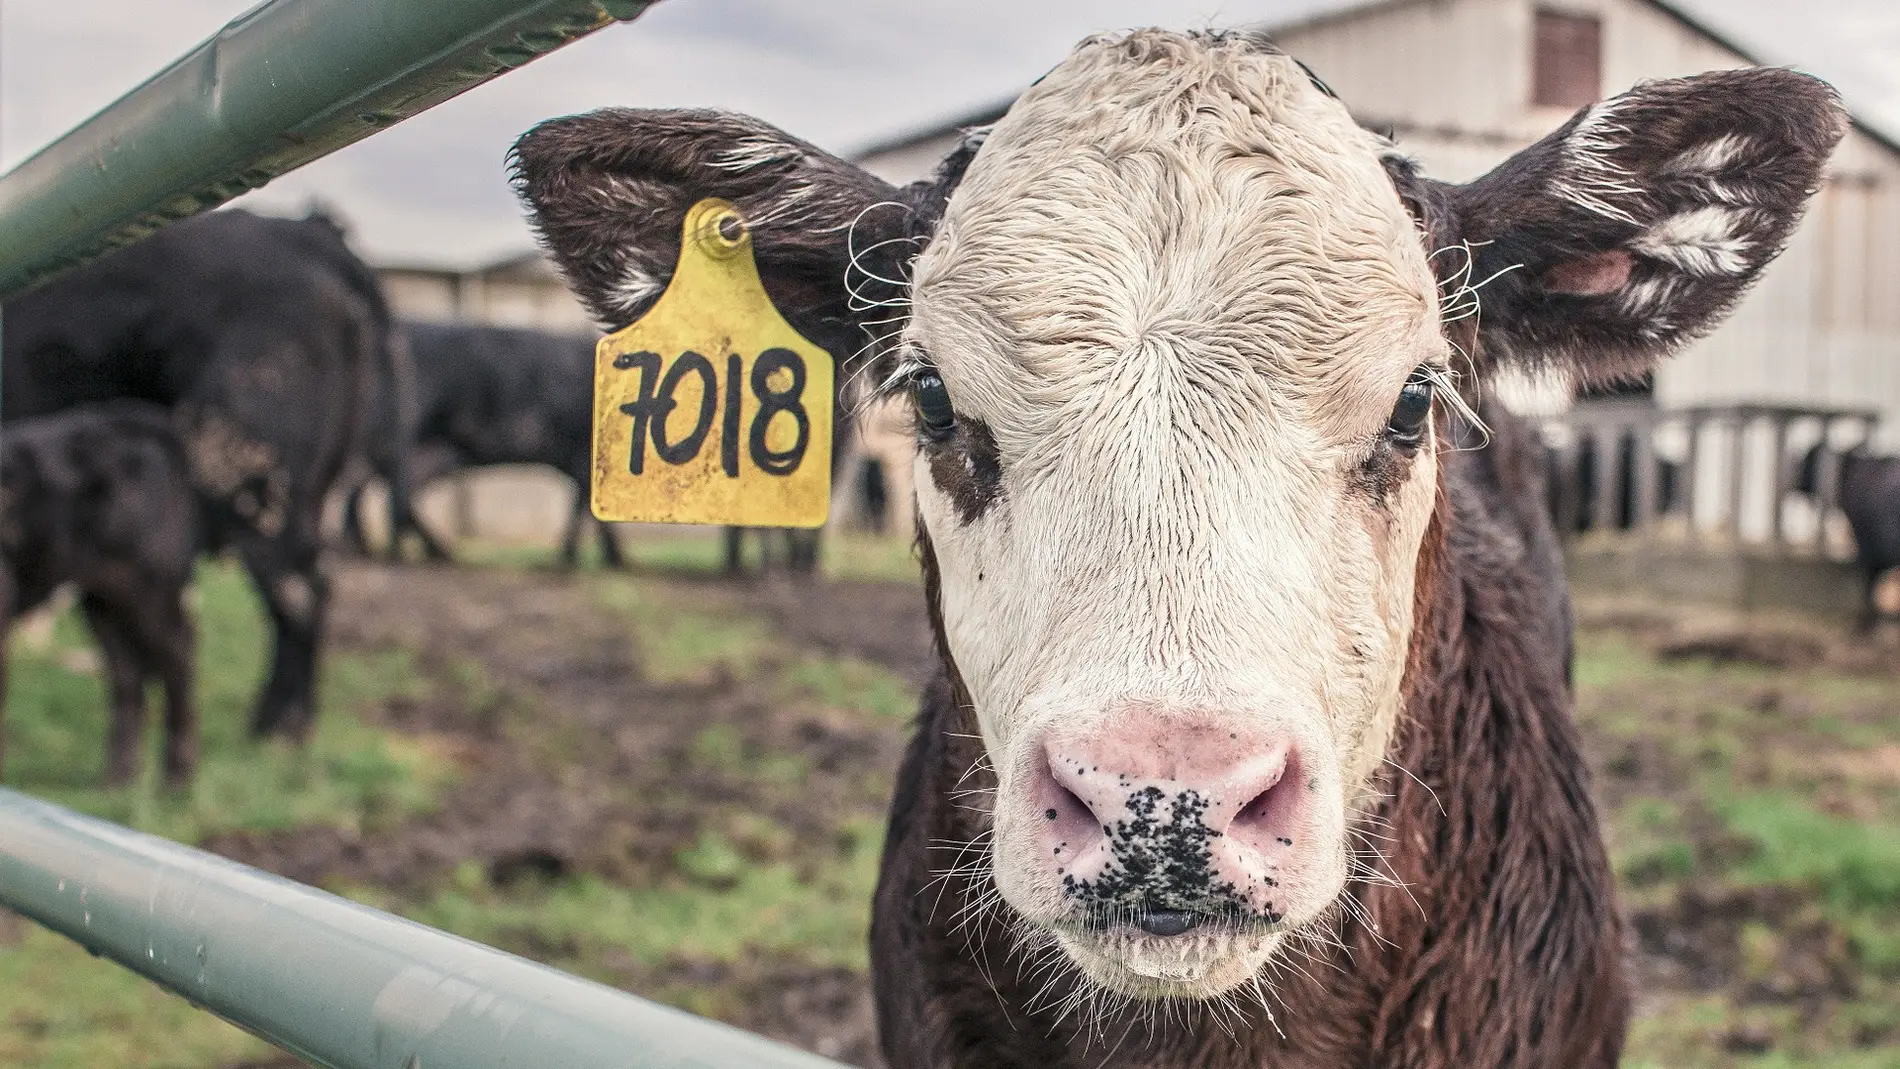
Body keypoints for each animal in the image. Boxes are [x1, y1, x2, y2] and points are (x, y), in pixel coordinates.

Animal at [0, 402, 200, 786]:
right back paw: (119, 779)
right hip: (103, 599)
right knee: (126, 672)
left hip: (151, 589)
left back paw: (176, 779)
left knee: (178, 655)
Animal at [2, 208, 389, 744]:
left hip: (246, 472)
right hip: (304, 487)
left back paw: (276, 726)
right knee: (315, 582)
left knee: (297, 593)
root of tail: (304, 231)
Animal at [334, 320, 615, 569]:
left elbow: (583, 504)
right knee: (378, 487)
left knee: (379, 487)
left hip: (424, 450)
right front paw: (603, 559)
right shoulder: (583, 455)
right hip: (396, 438)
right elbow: (588, 507)